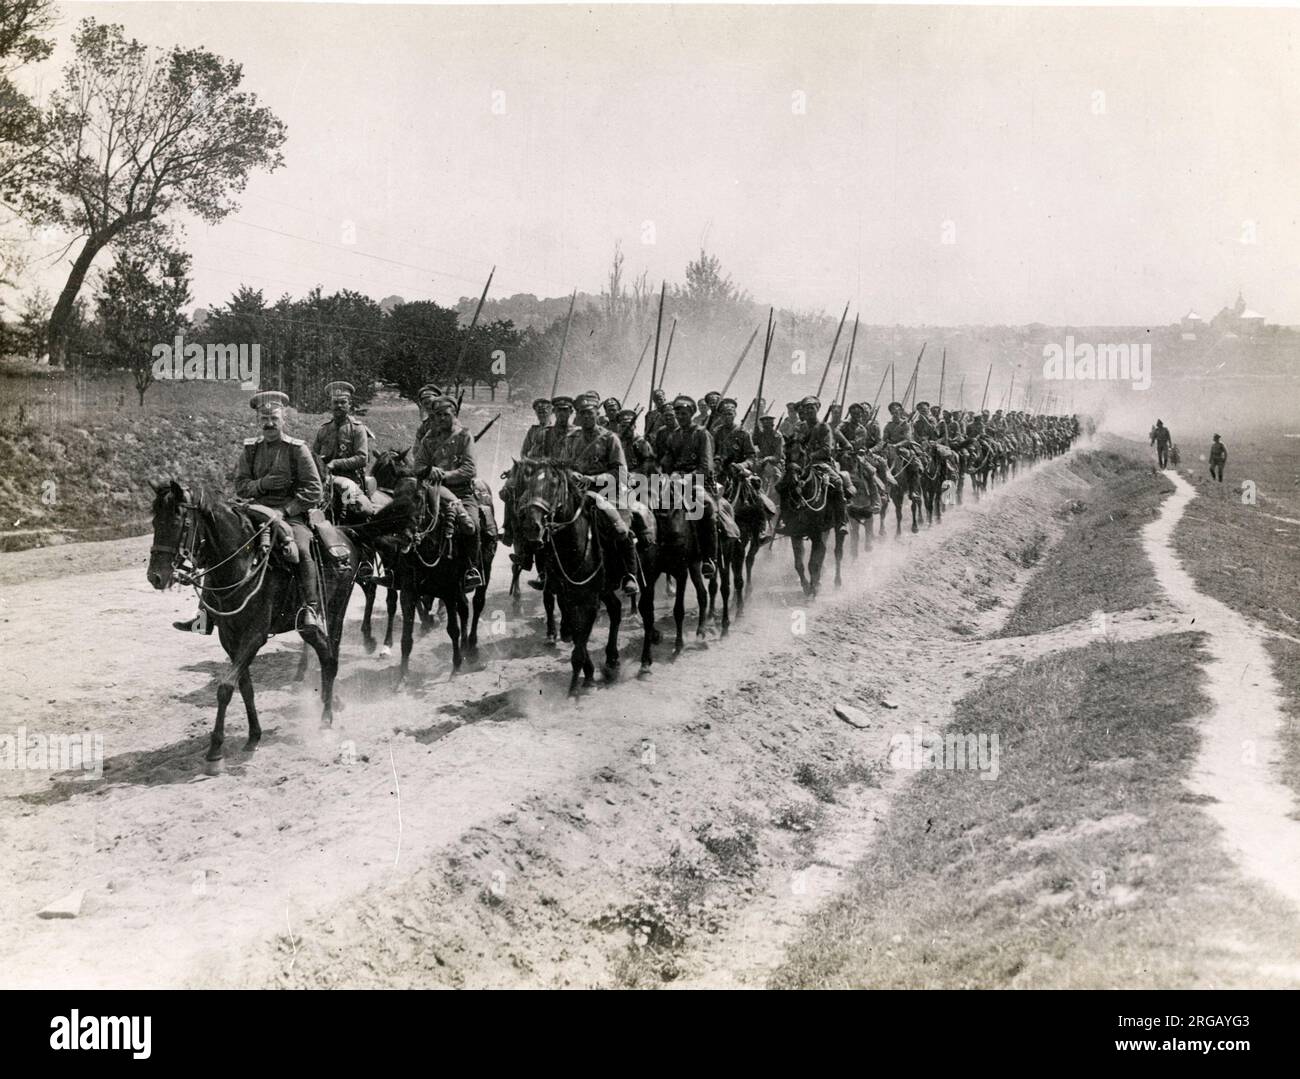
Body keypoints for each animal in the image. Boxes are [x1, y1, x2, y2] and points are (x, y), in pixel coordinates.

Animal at [148, 478, 361, 764]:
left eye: (177, 521)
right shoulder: (229, 637)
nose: (155, 577)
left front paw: (215, 749)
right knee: (325, 652)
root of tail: (345, 537)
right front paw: (253, 737)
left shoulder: (255, 635)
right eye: (154, 522)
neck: (243, 564)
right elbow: (244, 686)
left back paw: (326, 719)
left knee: (331, 657)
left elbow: (225, 686)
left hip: (337, 608)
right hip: (310, 627)